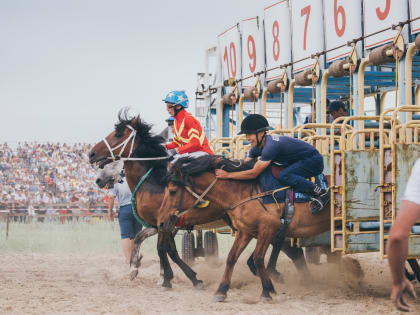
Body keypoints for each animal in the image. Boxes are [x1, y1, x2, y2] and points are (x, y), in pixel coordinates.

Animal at [156, 156, 334, 304]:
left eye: (172, 191)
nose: (161, 222)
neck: (245, 193)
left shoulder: (269, 229)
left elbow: (259, 258)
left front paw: (267, 290)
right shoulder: (246, 231)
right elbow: (232, 258)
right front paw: (221, 291)